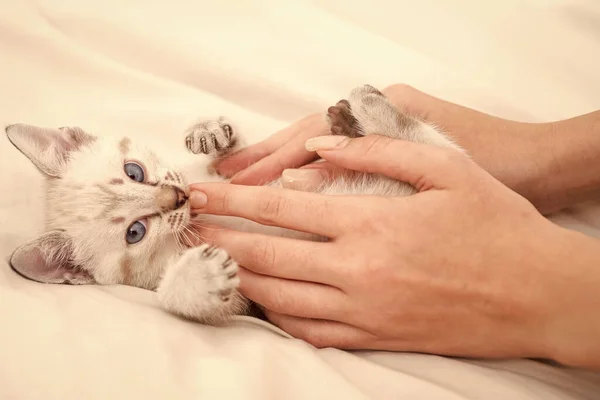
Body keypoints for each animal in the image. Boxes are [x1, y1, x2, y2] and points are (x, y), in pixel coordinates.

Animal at [3, 83, 464, 324]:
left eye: (133, 171)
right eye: (135, 232)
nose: (178, 197)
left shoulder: (228, 173)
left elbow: (232, 154)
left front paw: (209, 130)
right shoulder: (244, 304)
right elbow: (179, 298)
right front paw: (195, 277)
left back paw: (359, 113)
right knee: (437, 145)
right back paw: (363, 111)